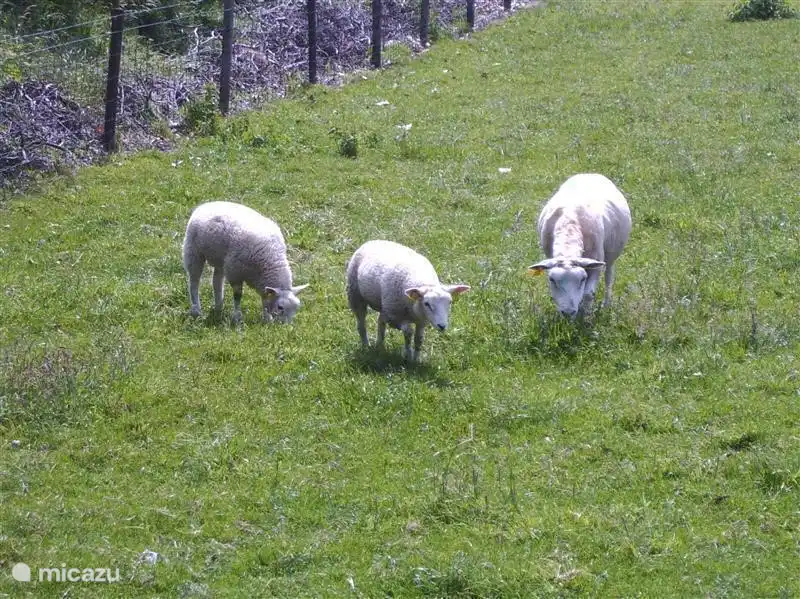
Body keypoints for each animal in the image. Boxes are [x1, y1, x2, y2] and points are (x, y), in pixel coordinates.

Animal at [529, 173, 632, 318]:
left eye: (582, 279)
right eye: (552, 280)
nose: (568, 313)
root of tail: (590, 173)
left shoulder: (596, 263)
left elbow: (588, 293)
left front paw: (585, 316)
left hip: (612, 255)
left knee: (609, 277)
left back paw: (606, 304)